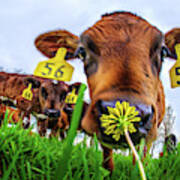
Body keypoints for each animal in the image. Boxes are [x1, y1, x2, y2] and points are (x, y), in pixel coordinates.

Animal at [34, 11, 180, 172]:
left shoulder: (149, 136)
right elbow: (107, 161)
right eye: (82, 52)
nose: (126, 113)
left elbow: (139, 161)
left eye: (163, 52)